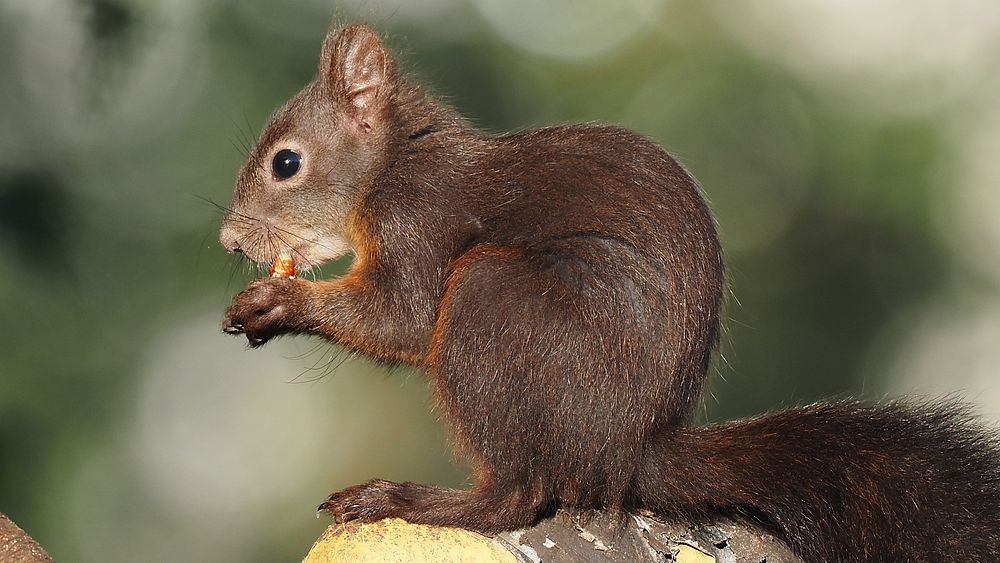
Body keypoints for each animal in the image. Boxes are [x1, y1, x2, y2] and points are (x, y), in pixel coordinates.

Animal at [219, 23, 1000, 563]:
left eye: (286, 163)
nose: (229, 240)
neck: (395, 162)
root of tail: (627, 452)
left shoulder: (419, 219)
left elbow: (402, 318)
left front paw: (281, 303)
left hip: (496, 301)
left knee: (518, 496)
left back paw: (415, 498)